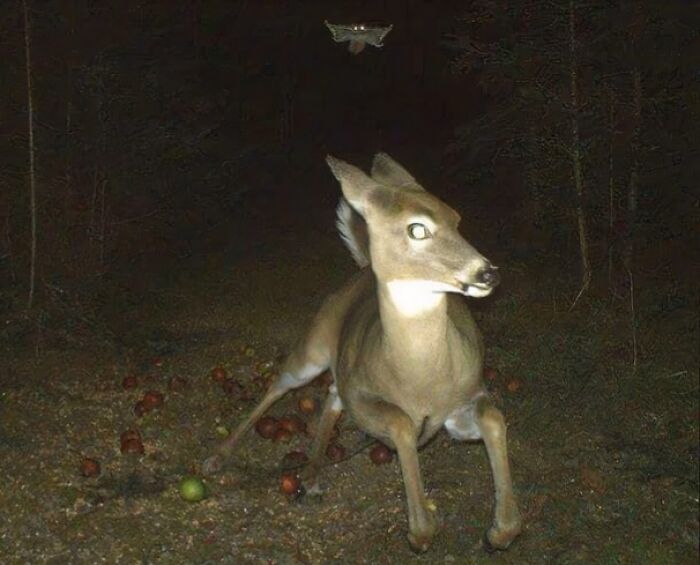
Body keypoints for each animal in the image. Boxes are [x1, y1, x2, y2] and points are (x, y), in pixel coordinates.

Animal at [203, 153, 522, 553]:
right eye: (417, 229)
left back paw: (312, 473)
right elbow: (401, 423)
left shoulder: (465, 398)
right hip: (313, 346)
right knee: (280, 385)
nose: (488, 273)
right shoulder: (364, 399)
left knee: (330, 394)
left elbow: (493, 418)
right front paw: (420, 531)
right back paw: (217, 458)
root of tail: (363, 269)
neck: (420, 381)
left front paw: (500, 530)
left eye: (456, 218)